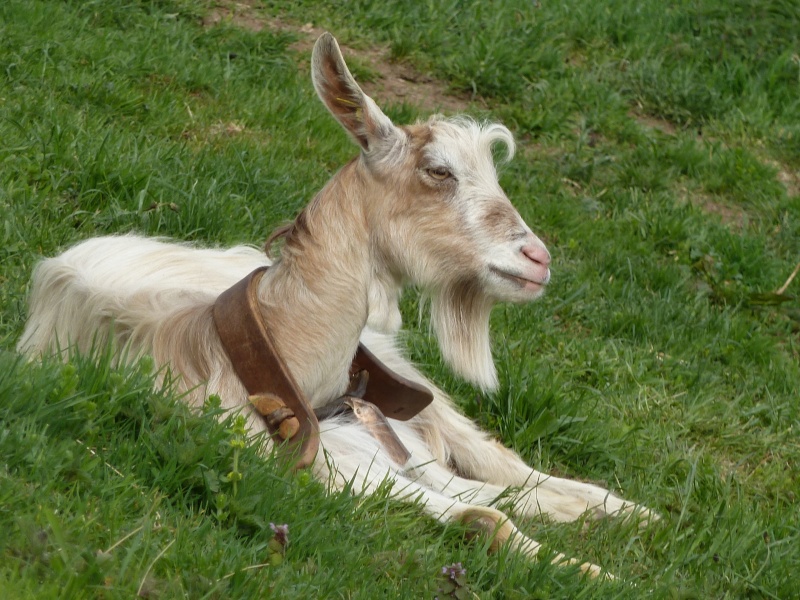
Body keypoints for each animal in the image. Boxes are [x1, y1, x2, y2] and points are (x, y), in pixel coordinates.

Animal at [18, 32, 648, 576]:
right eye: (438, 170)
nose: (538, 258)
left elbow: (493, 494)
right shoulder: (338, 472)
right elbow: (485, 511)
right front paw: (596, 572)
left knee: (503, 461)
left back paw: (637, 512)